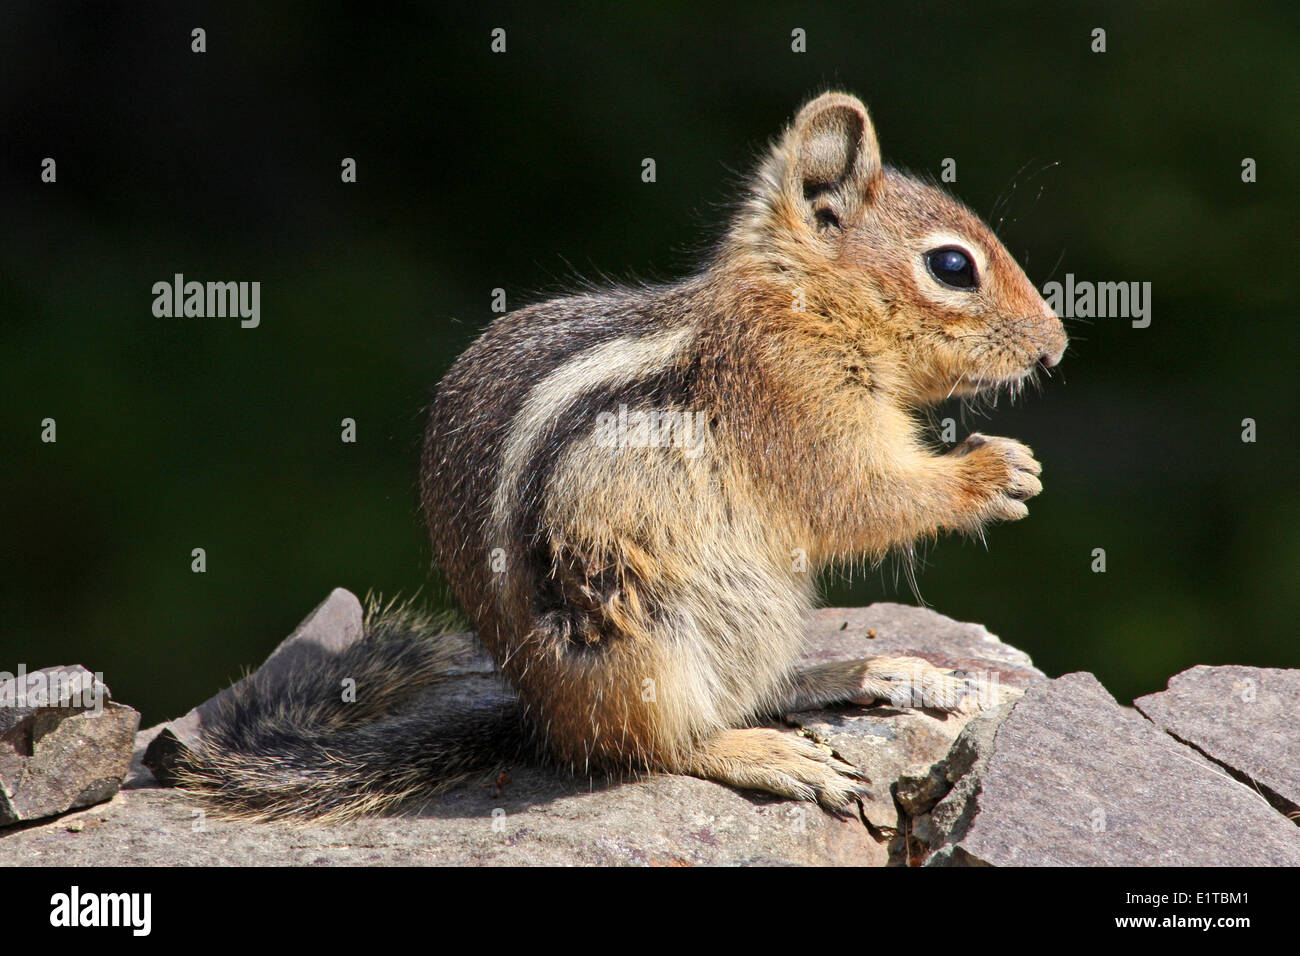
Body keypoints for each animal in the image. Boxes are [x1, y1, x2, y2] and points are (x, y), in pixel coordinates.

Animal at [175, 91, 1066, 822]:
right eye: (952, 267)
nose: (1056, 345)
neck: (799, 307)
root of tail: (543, 721)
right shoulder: (797, 407)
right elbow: (858, 498)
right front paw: (994, 471)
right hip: (647, 641)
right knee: (659, 748)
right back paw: (770, 754)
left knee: (754, 689)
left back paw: (865, 674)